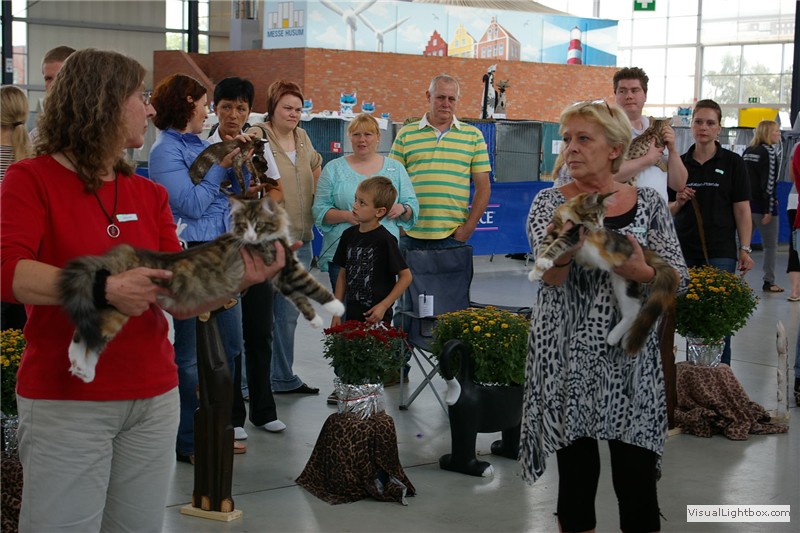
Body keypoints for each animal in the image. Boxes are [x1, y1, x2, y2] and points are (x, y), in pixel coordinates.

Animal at [59, 196, 345, 383]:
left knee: (83, 334)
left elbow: (300, 298)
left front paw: (315, 319)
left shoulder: (279, 276)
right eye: (244, 226)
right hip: (122, 304)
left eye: (258, 225)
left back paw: (81, 369)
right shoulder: (287, 268)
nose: (250, 237)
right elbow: (314, 287)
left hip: (117, 308)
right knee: (90, 335)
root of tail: (128, 253)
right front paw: (336, 307)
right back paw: (82, 368)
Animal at [529, 192, 678, 355]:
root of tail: (642, 249)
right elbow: (545, 245)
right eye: (594, 215)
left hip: (626, 279)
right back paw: (616, 337)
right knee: (632, 311)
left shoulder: (575, 232)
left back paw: (616, 337)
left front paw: (543, 262)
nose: (600, 226)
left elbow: (557, 245)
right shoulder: (555, 228)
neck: (572, 213)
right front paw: (537, 269)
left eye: (603, 216)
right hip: (622, 282)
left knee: (634, 310)